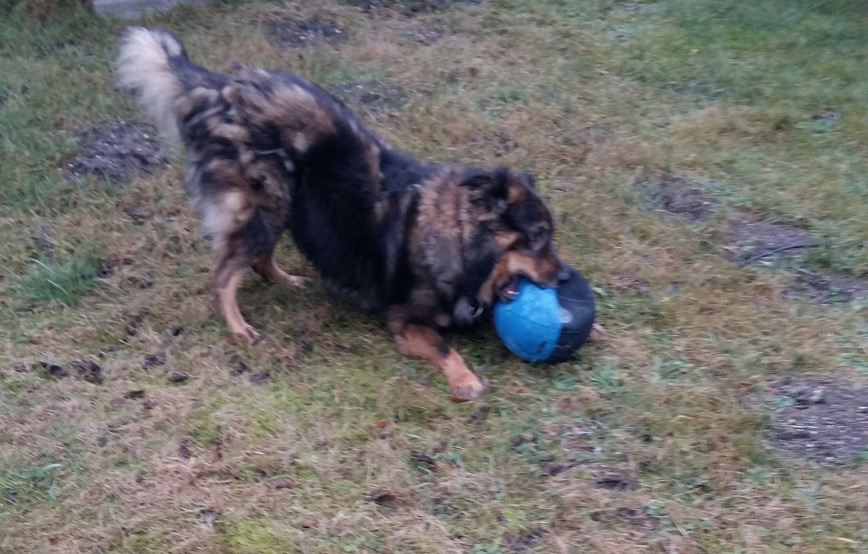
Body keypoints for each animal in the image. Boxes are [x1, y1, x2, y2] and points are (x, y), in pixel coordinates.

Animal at [115, 27, 568, 402]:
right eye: (537, 236)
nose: (564, 278)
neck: (455, 237)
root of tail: (220, 88)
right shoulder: (404, 321)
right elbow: (444, 347)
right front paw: (465, 379)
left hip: (286, 203)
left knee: (256, 261)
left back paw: (288, 281)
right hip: (266, 205)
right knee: (223, 274)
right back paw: (239, 326)